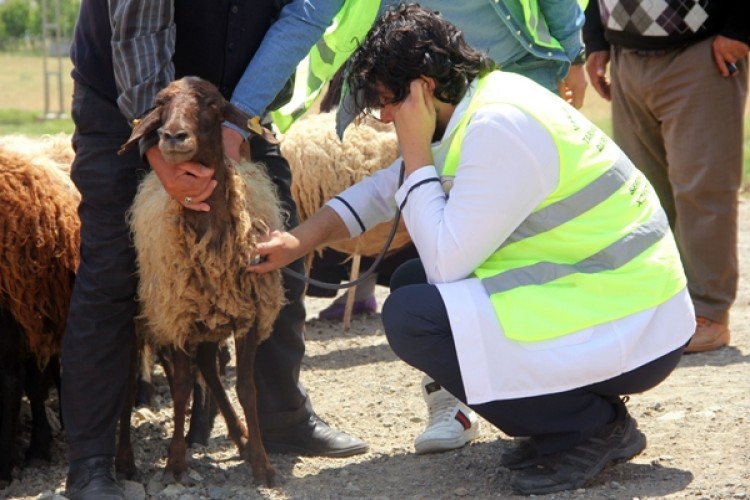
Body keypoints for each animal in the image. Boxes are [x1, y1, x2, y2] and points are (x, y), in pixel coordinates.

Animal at [119, 76, 286, 486]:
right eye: (160, 104)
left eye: (212, 104)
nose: (172, 136)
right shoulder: (178, 319)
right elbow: (180, 389)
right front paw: (176, 463)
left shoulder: (246, 318)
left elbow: (247, 389)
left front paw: (261, 463)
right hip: (141, 321)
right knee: (127, 384)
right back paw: (124, 461)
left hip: (211, 320)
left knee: (210, 368)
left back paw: (241, 438)